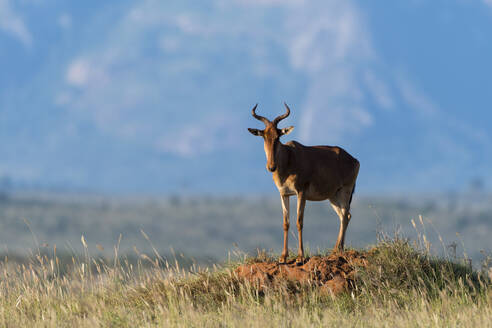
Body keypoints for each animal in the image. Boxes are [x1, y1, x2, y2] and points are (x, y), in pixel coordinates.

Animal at [248, 104, 360, 266]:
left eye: (278, 136)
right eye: (264, 136)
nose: (271, 167)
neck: (289, 157)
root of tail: (353, 159)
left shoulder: (301, 193)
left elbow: (299, 221)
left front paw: (300, 257)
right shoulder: (284, 194)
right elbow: (286, 223)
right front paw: (283, 257)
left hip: (346, 190)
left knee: (345, 216)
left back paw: (336, 249)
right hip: (333, 196)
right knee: (345, 216)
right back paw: (340, 248)